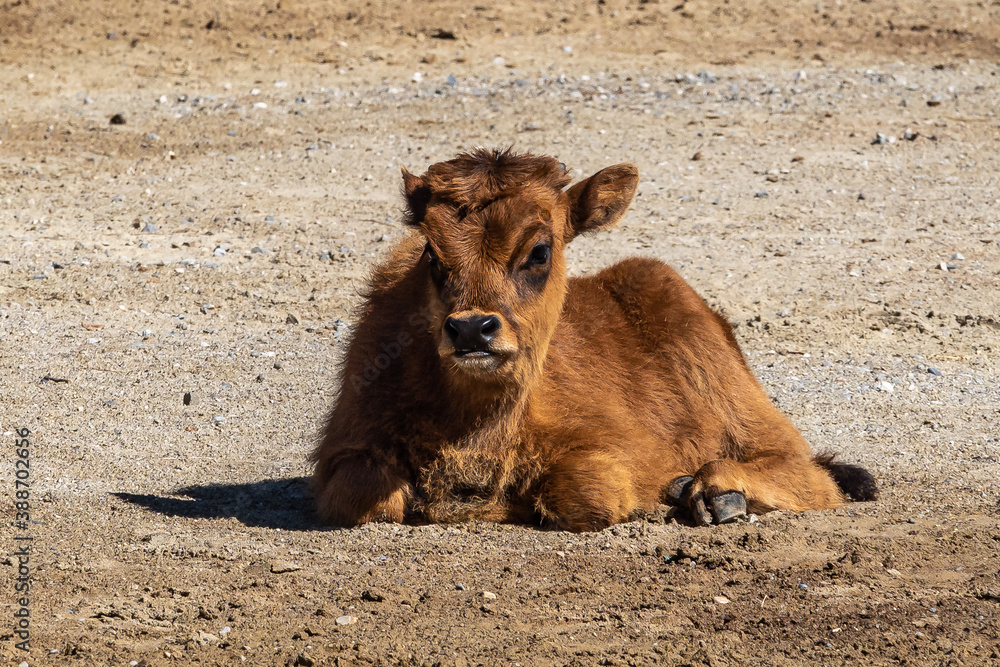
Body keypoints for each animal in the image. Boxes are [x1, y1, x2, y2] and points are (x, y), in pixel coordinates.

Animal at [310, 148, 878, 532]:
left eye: (540, 251)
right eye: (431, 251)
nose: (472, 328)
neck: (476, 419)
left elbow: (585, 493)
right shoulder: (346, 452)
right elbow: (368, 496)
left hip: (746, 410)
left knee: (807, 474)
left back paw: (711, 494)